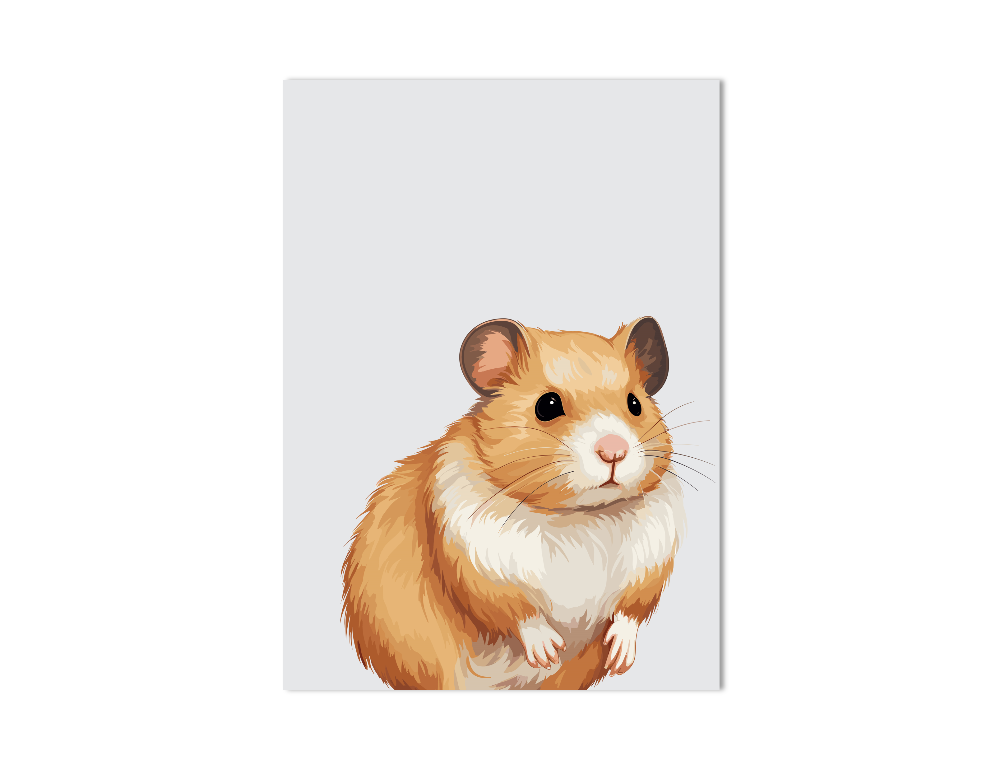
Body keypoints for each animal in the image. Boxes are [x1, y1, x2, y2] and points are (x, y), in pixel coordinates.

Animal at [341, 317, 686, 690]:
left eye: (635, 403)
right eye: (547, 405)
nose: (614, 451)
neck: (579, 516)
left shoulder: (650, 566)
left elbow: (630, 613)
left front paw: (621, 659)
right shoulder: (477, 565)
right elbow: (519, 612)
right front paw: (548, 652)